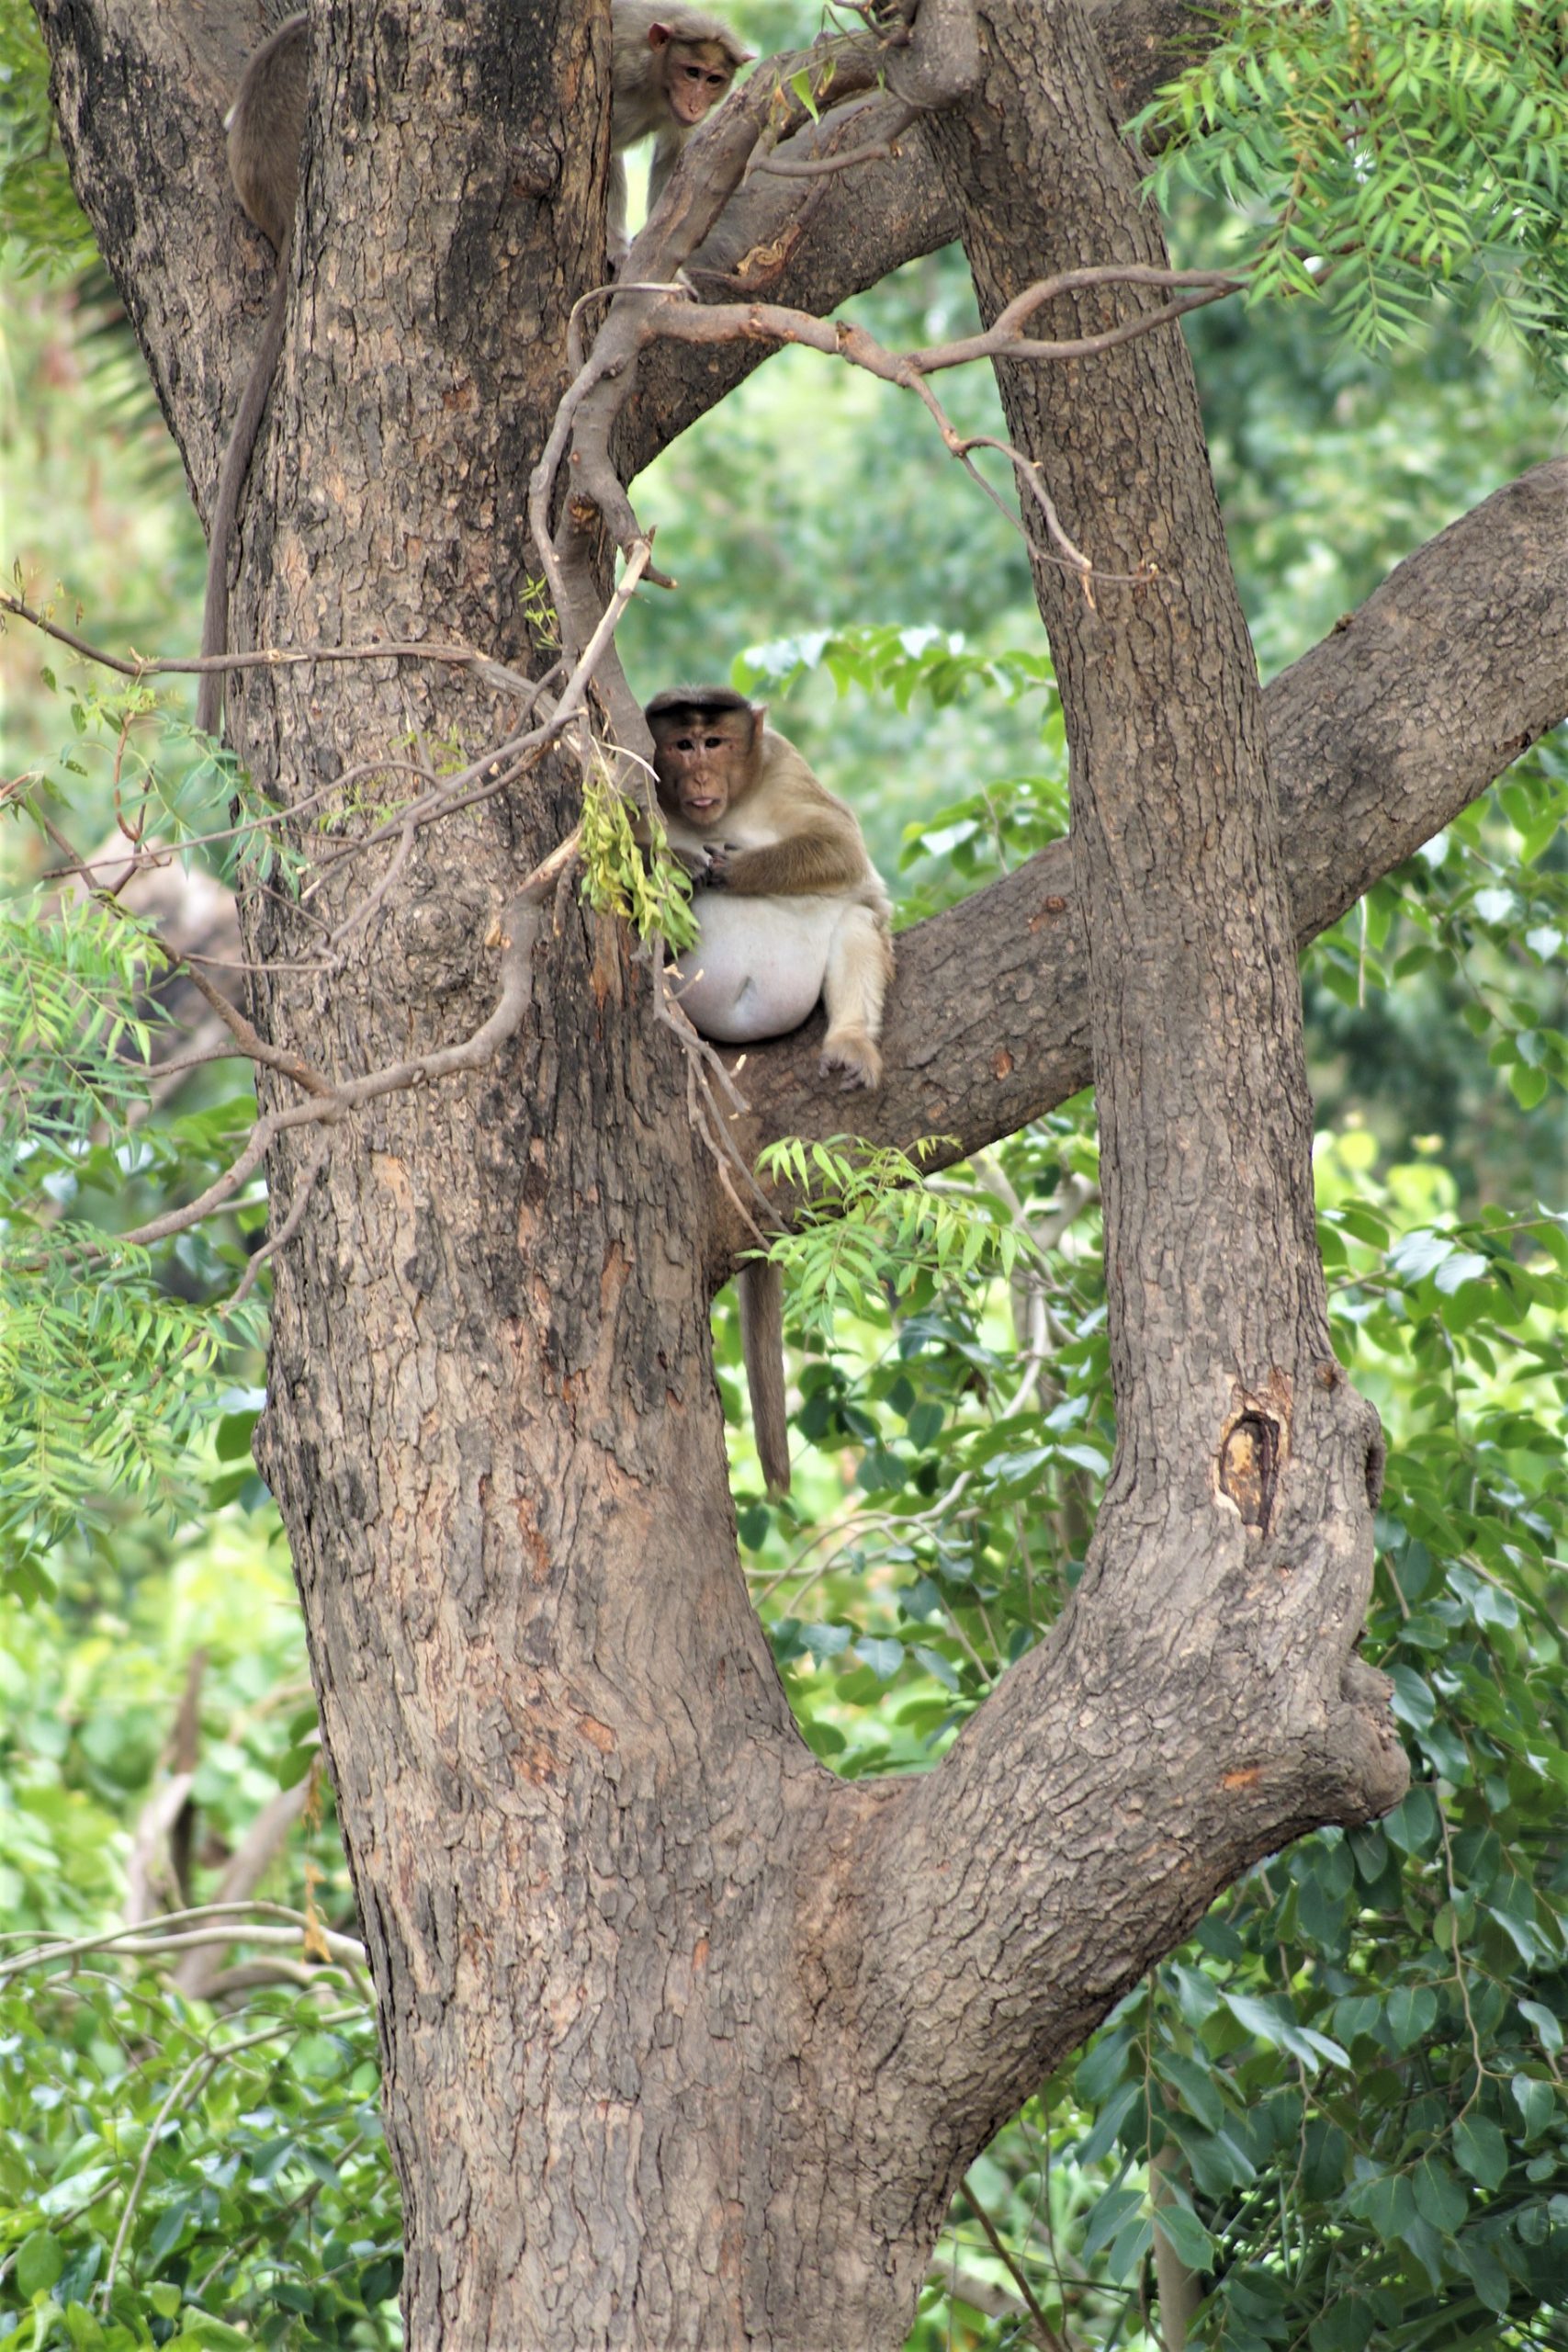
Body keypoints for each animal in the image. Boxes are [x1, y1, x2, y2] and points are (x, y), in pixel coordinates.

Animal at [606, 0, 751, 265]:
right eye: (692, 72)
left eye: (713, 79)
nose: (694, 106)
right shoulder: (622, 71)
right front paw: (616, 247)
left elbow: (673, 162)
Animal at [649, 686, 893, 1486]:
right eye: (681, 743)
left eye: (716, 740)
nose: (699, 773)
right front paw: (682, 860)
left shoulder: (784, 766)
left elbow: (840, 849)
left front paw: (725, 869)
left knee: (855, 919)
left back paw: (849, 1042)